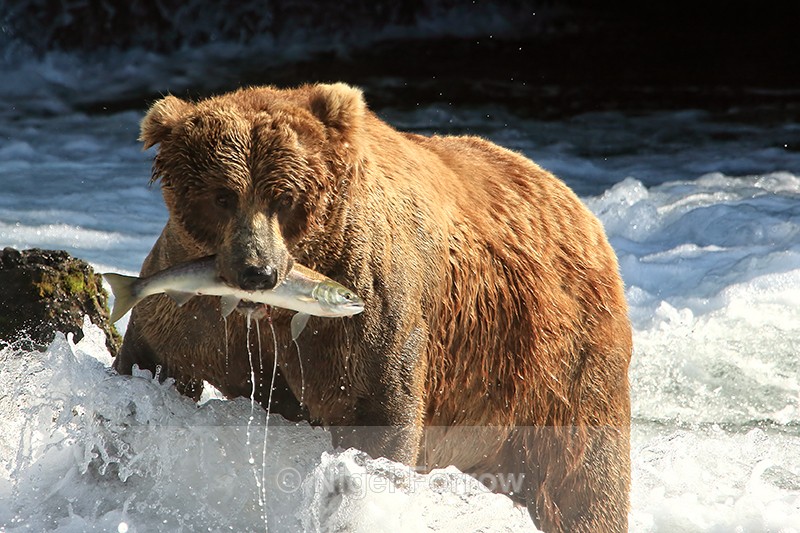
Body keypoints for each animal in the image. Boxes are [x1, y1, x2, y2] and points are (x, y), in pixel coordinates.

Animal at [114, 83, 632, 532]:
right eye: (222, 195)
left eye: (284, 197)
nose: (257, 271)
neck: (265, 313)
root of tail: (577, 205)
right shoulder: (190, 308)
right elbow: (150, 363)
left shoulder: (366, 309)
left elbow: (376, 414)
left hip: (551, 365)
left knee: (583, 476)